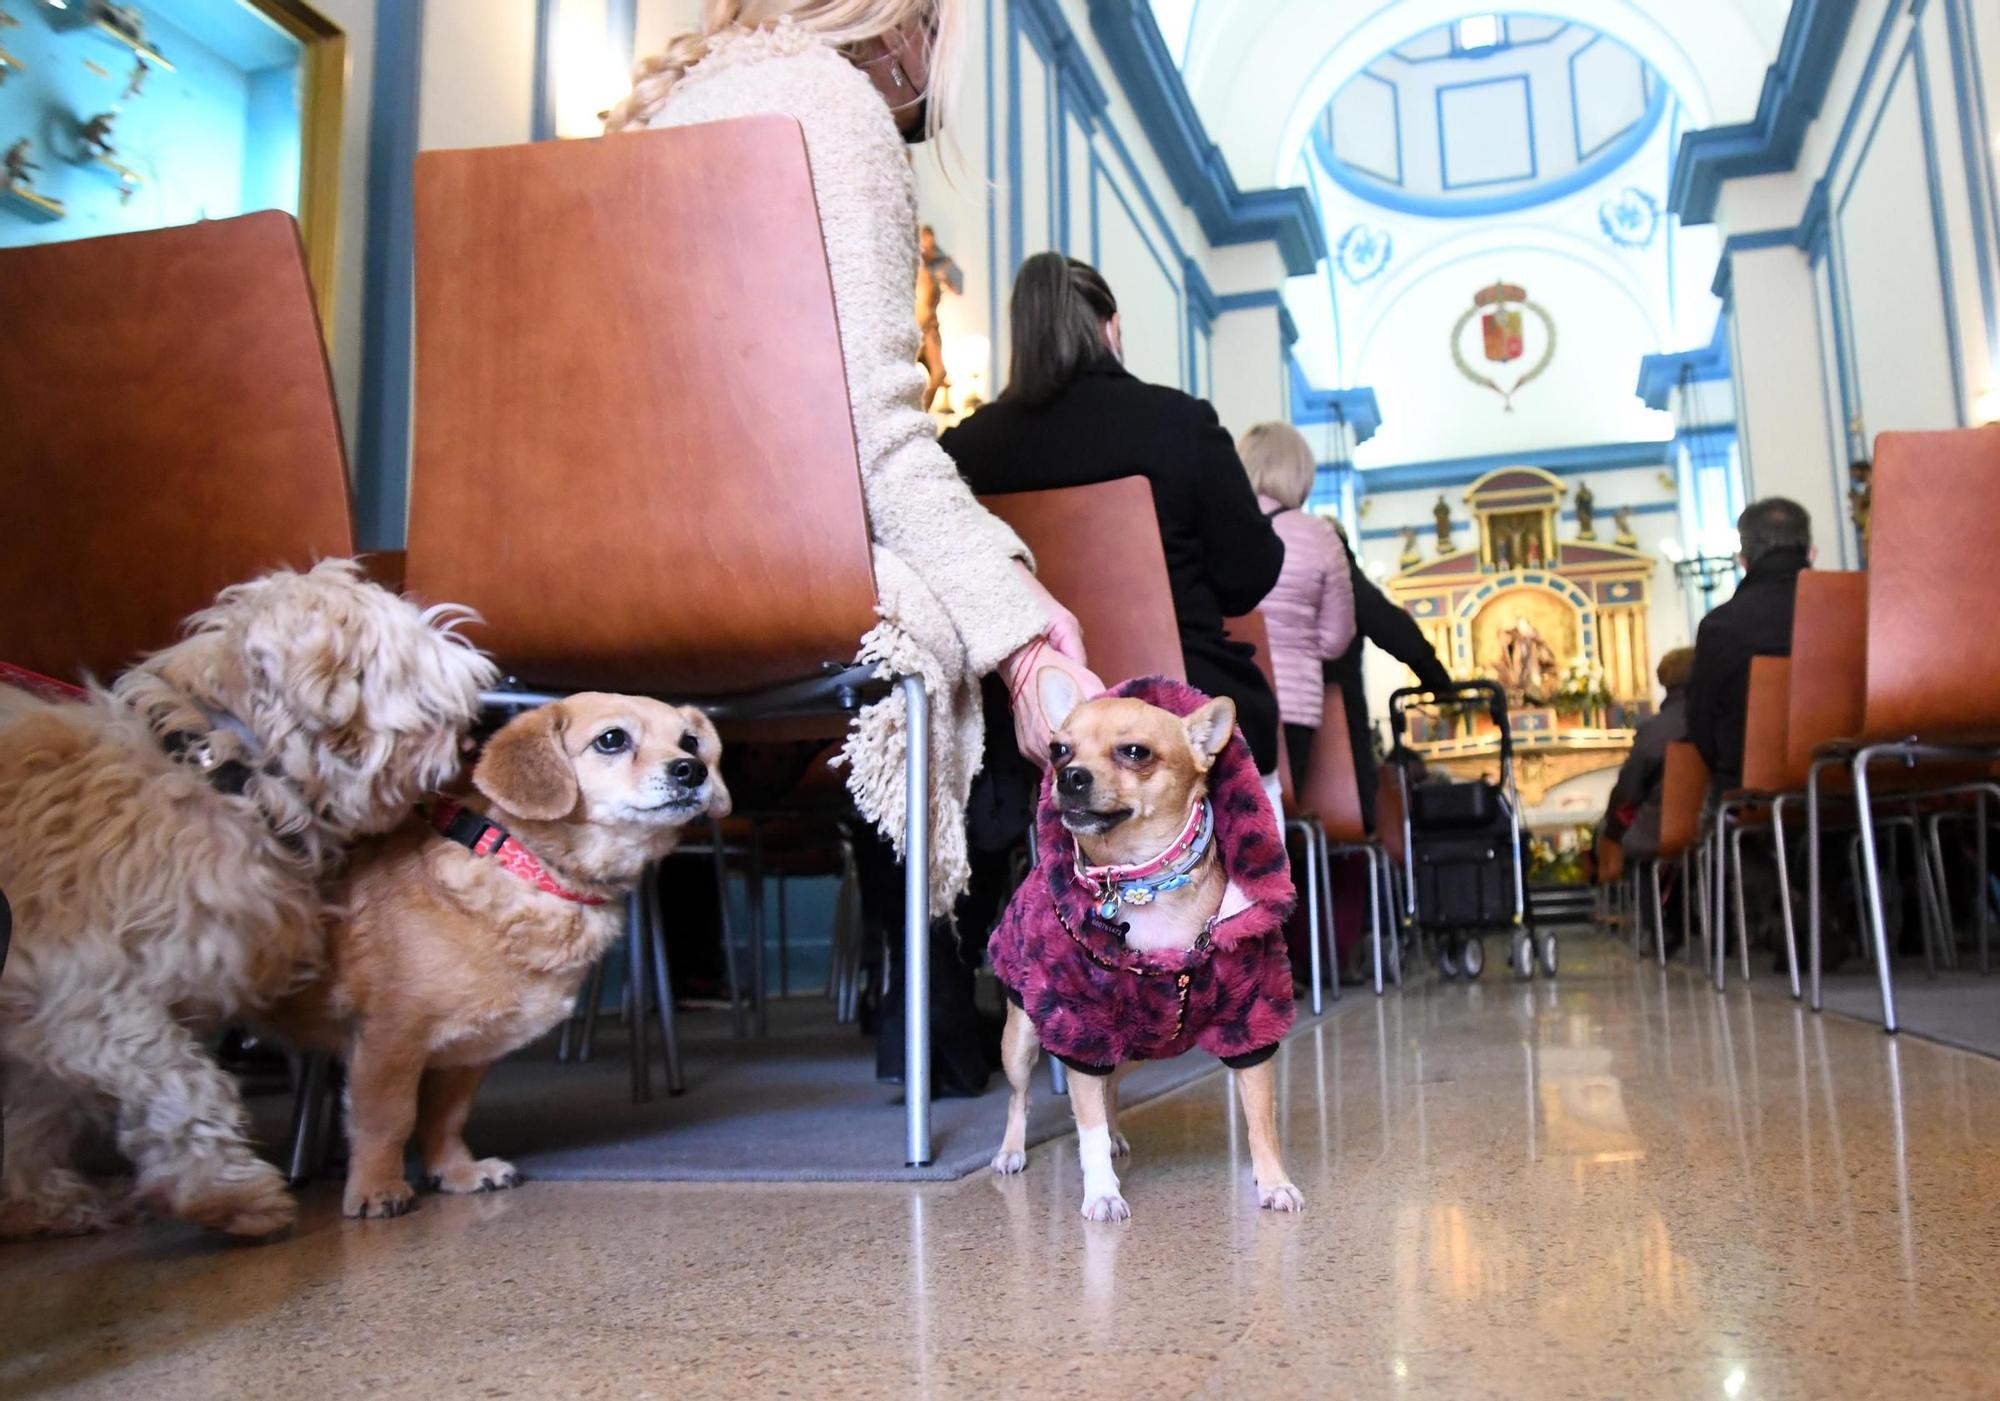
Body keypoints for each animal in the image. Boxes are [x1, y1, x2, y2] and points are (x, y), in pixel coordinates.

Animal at [0, 556, 496, 1232]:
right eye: (428, 696)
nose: (476, 736)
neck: (219, 769)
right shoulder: (89, 984)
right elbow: (179, 1079)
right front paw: (228, 1192)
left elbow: (38, 1103)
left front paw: (32, 1197)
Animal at [270, 696, 732, 1216]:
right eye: (612, 739)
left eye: (690, 741)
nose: (692, 769)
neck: (525, 863)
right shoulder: (390, 1039)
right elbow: (389, 1118)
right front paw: (376, 1186)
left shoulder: (467, 1050)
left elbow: (446, 1116)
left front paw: (456, 1172)